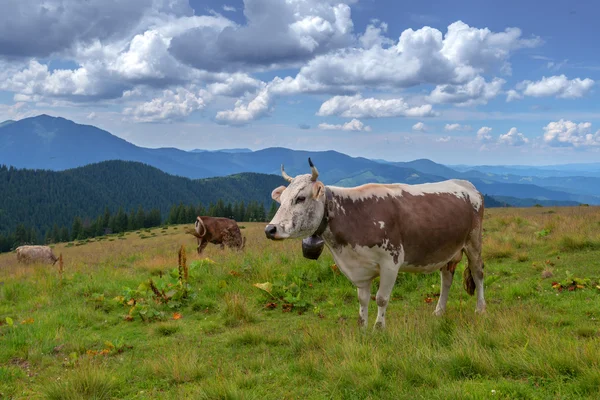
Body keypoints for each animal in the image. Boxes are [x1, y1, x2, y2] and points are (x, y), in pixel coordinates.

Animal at [264, 158, 486, 330]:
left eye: (300, 198)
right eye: (281, 199)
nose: (270, 229)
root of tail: (466, 184)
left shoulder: (391, 262)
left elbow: (381, 298)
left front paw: (379, 328)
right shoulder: (359, 267)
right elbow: (363, 299)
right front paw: (362, 328)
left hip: (474, 242)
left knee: (478, 273)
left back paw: (480, 309)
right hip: (449, 249)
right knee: (446, 278)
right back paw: (439, 311)